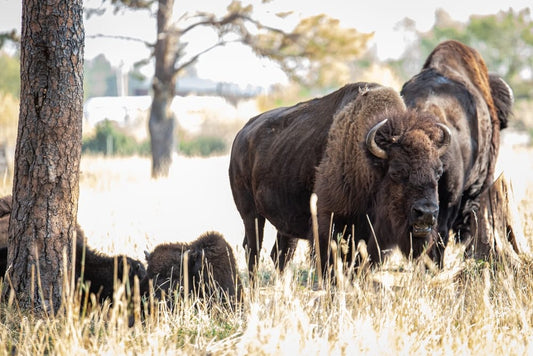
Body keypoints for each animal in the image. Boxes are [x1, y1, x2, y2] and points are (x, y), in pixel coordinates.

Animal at [231, 82, 450, 276]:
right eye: (396, 172)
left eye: (438, 172)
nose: (427, 213)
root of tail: (241, 135)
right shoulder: (329, 226)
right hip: (251, 215)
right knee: (253, 250)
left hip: (285, 224)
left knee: (280, 254)